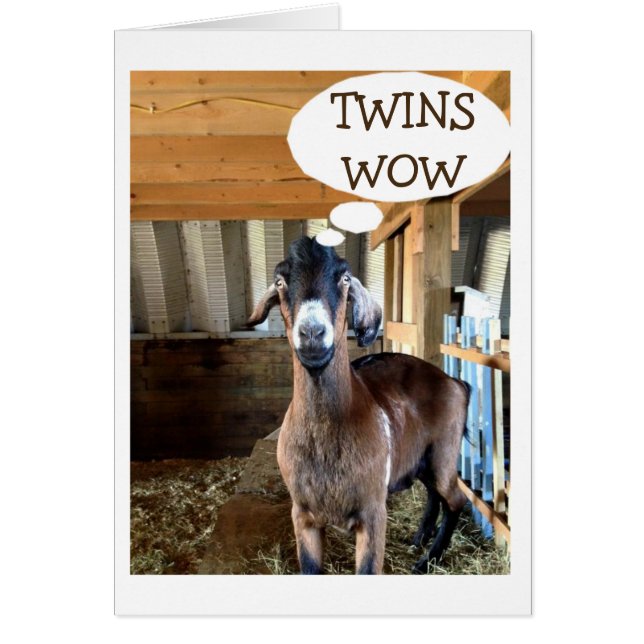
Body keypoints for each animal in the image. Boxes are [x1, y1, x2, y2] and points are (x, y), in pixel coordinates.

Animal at [247, 236, 469, 574]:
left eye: (345, 278)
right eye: (280, 281)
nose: (312, 333)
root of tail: (453, 382)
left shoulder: (373, 512)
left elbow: (367, 569)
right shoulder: (302, 514)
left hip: (444, 452)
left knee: (455, 500)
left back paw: (426, 561)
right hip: (421, 458)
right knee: (434, 495)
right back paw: (419, 539)